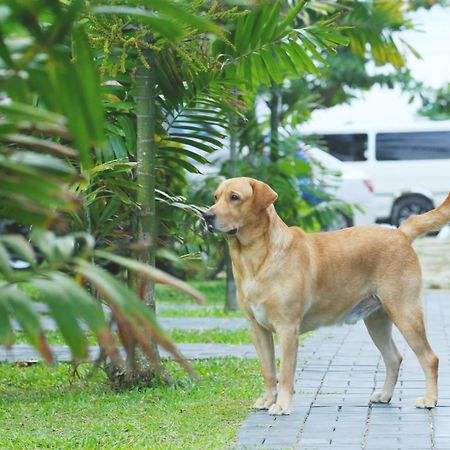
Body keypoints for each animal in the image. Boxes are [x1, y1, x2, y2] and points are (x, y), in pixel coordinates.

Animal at [205, 178, 450, 416]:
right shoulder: (256, 327)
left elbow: (285, 373)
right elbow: (268, 370)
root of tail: (400, 232)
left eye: (234, 197)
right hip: (377, 320)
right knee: (394, 357)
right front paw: (267, 399)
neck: (255, 259)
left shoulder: (287, 328)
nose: (206, 216)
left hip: (405, 311)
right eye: (216, 197)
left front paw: (282, 405)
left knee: (429, 358)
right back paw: (384, 395)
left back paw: (430, 399)